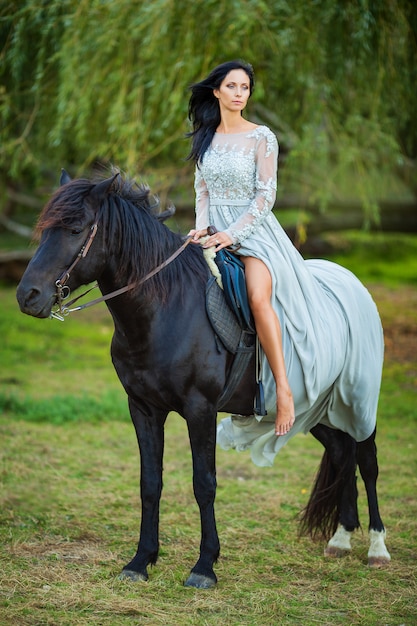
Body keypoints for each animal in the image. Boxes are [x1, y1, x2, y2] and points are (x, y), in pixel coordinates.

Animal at [16, 169, 390, 584]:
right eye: (45, 229)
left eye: (76, 229)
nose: (27, 296)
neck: (167, 310)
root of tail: (350, 282)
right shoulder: (143, 408)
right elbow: (150, 482)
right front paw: (141, 560)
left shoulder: (201, 410)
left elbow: (204, 483)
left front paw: (205, 565)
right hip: (317, 408)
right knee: (342, 453)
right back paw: (341, 538)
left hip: (358, 400)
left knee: (367, 462)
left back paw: (377, 548)